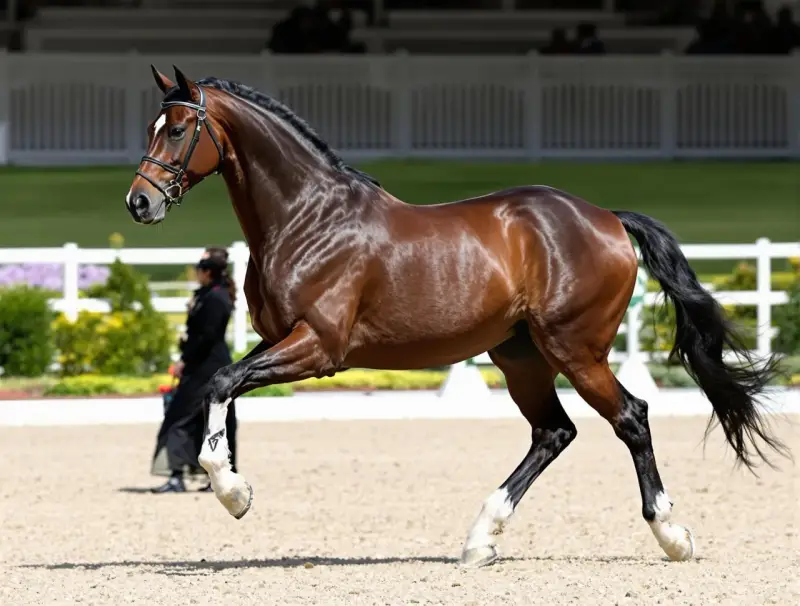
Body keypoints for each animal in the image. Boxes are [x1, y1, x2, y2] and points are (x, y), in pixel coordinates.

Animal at [125, 65, 788, 568]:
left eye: (178, 129)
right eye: (152, 127)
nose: (140, 202)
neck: (307, 218)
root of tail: (606, 218)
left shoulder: (318, 348)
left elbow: (218, 381)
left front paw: (233, 493)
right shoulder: (277, 341)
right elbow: (221, 386)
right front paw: (231, 485)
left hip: (576, 351)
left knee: (631, 417)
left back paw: (672, 537)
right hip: (520, 356)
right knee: (554, 432)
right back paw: (479, 541)